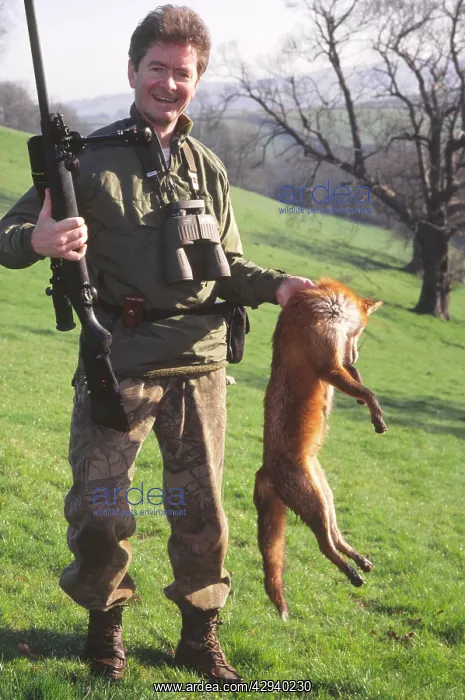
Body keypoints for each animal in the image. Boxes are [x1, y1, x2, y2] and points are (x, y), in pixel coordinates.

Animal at [253, 277, 386, 620]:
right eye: (359, 334)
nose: (355, 357)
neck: (329, 308)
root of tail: (264, 470)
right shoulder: (328, 365)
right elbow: (368, 391)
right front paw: (377, 416)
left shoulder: (337, 360)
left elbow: (358, 383)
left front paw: (366, 403)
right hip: (314, 504)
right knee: (325, 546)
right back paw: (353, 574)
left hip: (326, 500)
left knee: (336, 538)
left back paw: (360, 561)